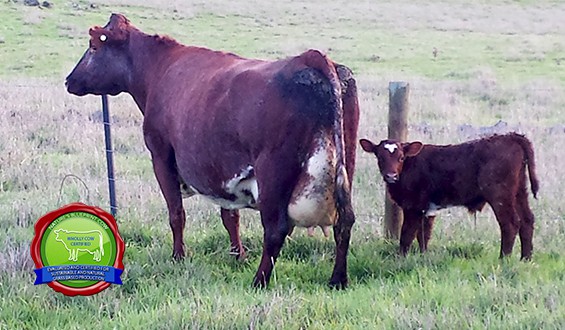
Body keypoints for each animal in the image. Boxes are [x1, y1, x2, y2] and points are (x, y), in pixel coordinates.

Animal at [65, 14, 356, 288]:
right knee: (345, 221)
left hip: (273, 170)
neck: (159, 68)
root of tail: (313, 58)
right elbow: (230, 216)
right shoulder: (221, 171)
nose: (69, 80)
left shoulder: (161, 155)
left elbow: (177, 214)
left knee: (276, 229)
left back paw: (259, 281)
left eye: (93, 47)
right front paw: (238, 256)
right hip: (344, 166)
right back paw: (338, 279)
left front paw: (178, 257)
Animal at [360, 133, 540, 260]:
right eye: (379, 157)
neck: (410, 167)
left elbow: (407, 235)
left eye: (401, 157)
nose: (391, 176)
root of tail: (511, 136)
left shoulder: (413, 207)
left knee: (510, 224)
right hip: (519, 192)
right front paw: (422, 257)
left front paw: (401, 259)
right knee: (527, 220)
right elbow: (423, 235)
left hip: (500, 195)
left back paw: (503, 259)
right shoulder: (427, 209)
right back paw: (526, 259)